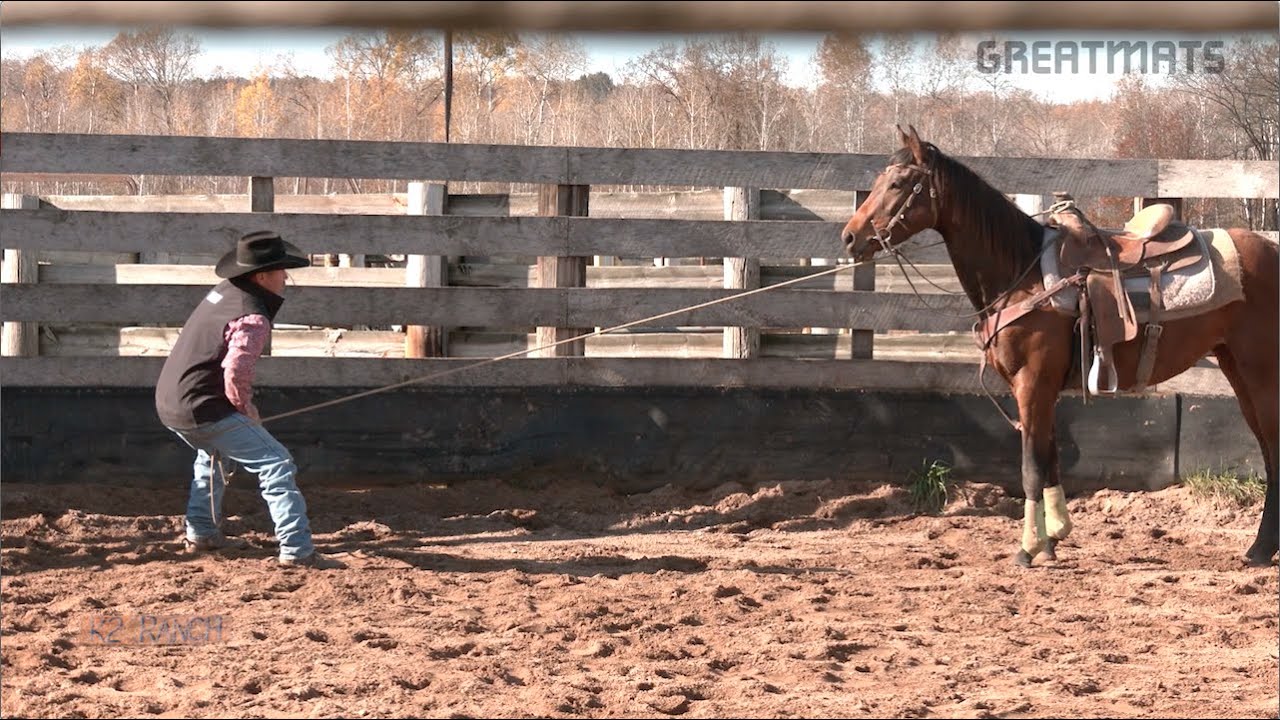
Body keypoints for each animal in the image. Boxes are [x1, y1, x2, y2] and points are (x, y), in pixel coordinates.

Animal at [841, 125, 1278, 568]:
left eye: (897, 183)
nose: (851, 236)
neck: (1023, 273)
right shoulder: (1042, 391)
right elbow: (1049, 460)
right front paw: (1052, 539)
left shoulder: (1032, 384)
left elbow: (1031, 467)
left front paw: (1026, 549)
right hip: (1237, 372)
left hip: (1262, 376)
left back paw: (1261, 549)